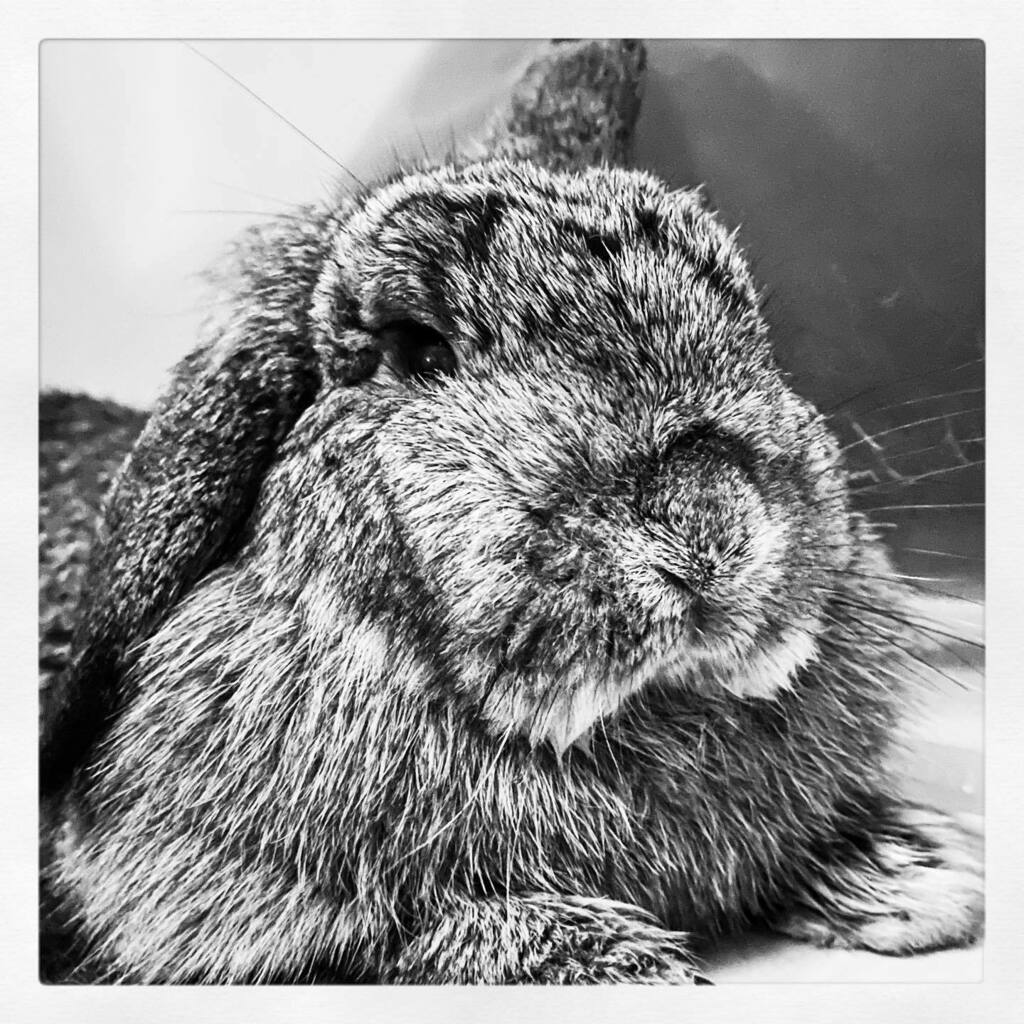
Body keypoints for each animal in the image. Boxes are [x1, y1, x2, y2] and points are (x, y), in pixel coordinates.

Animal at [39, 39, 983, 984]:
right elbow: (422, 937)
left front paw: (926, 876)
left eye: (740, 309)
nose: (707, 528)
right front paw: (632, 969)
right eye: (420, 351)